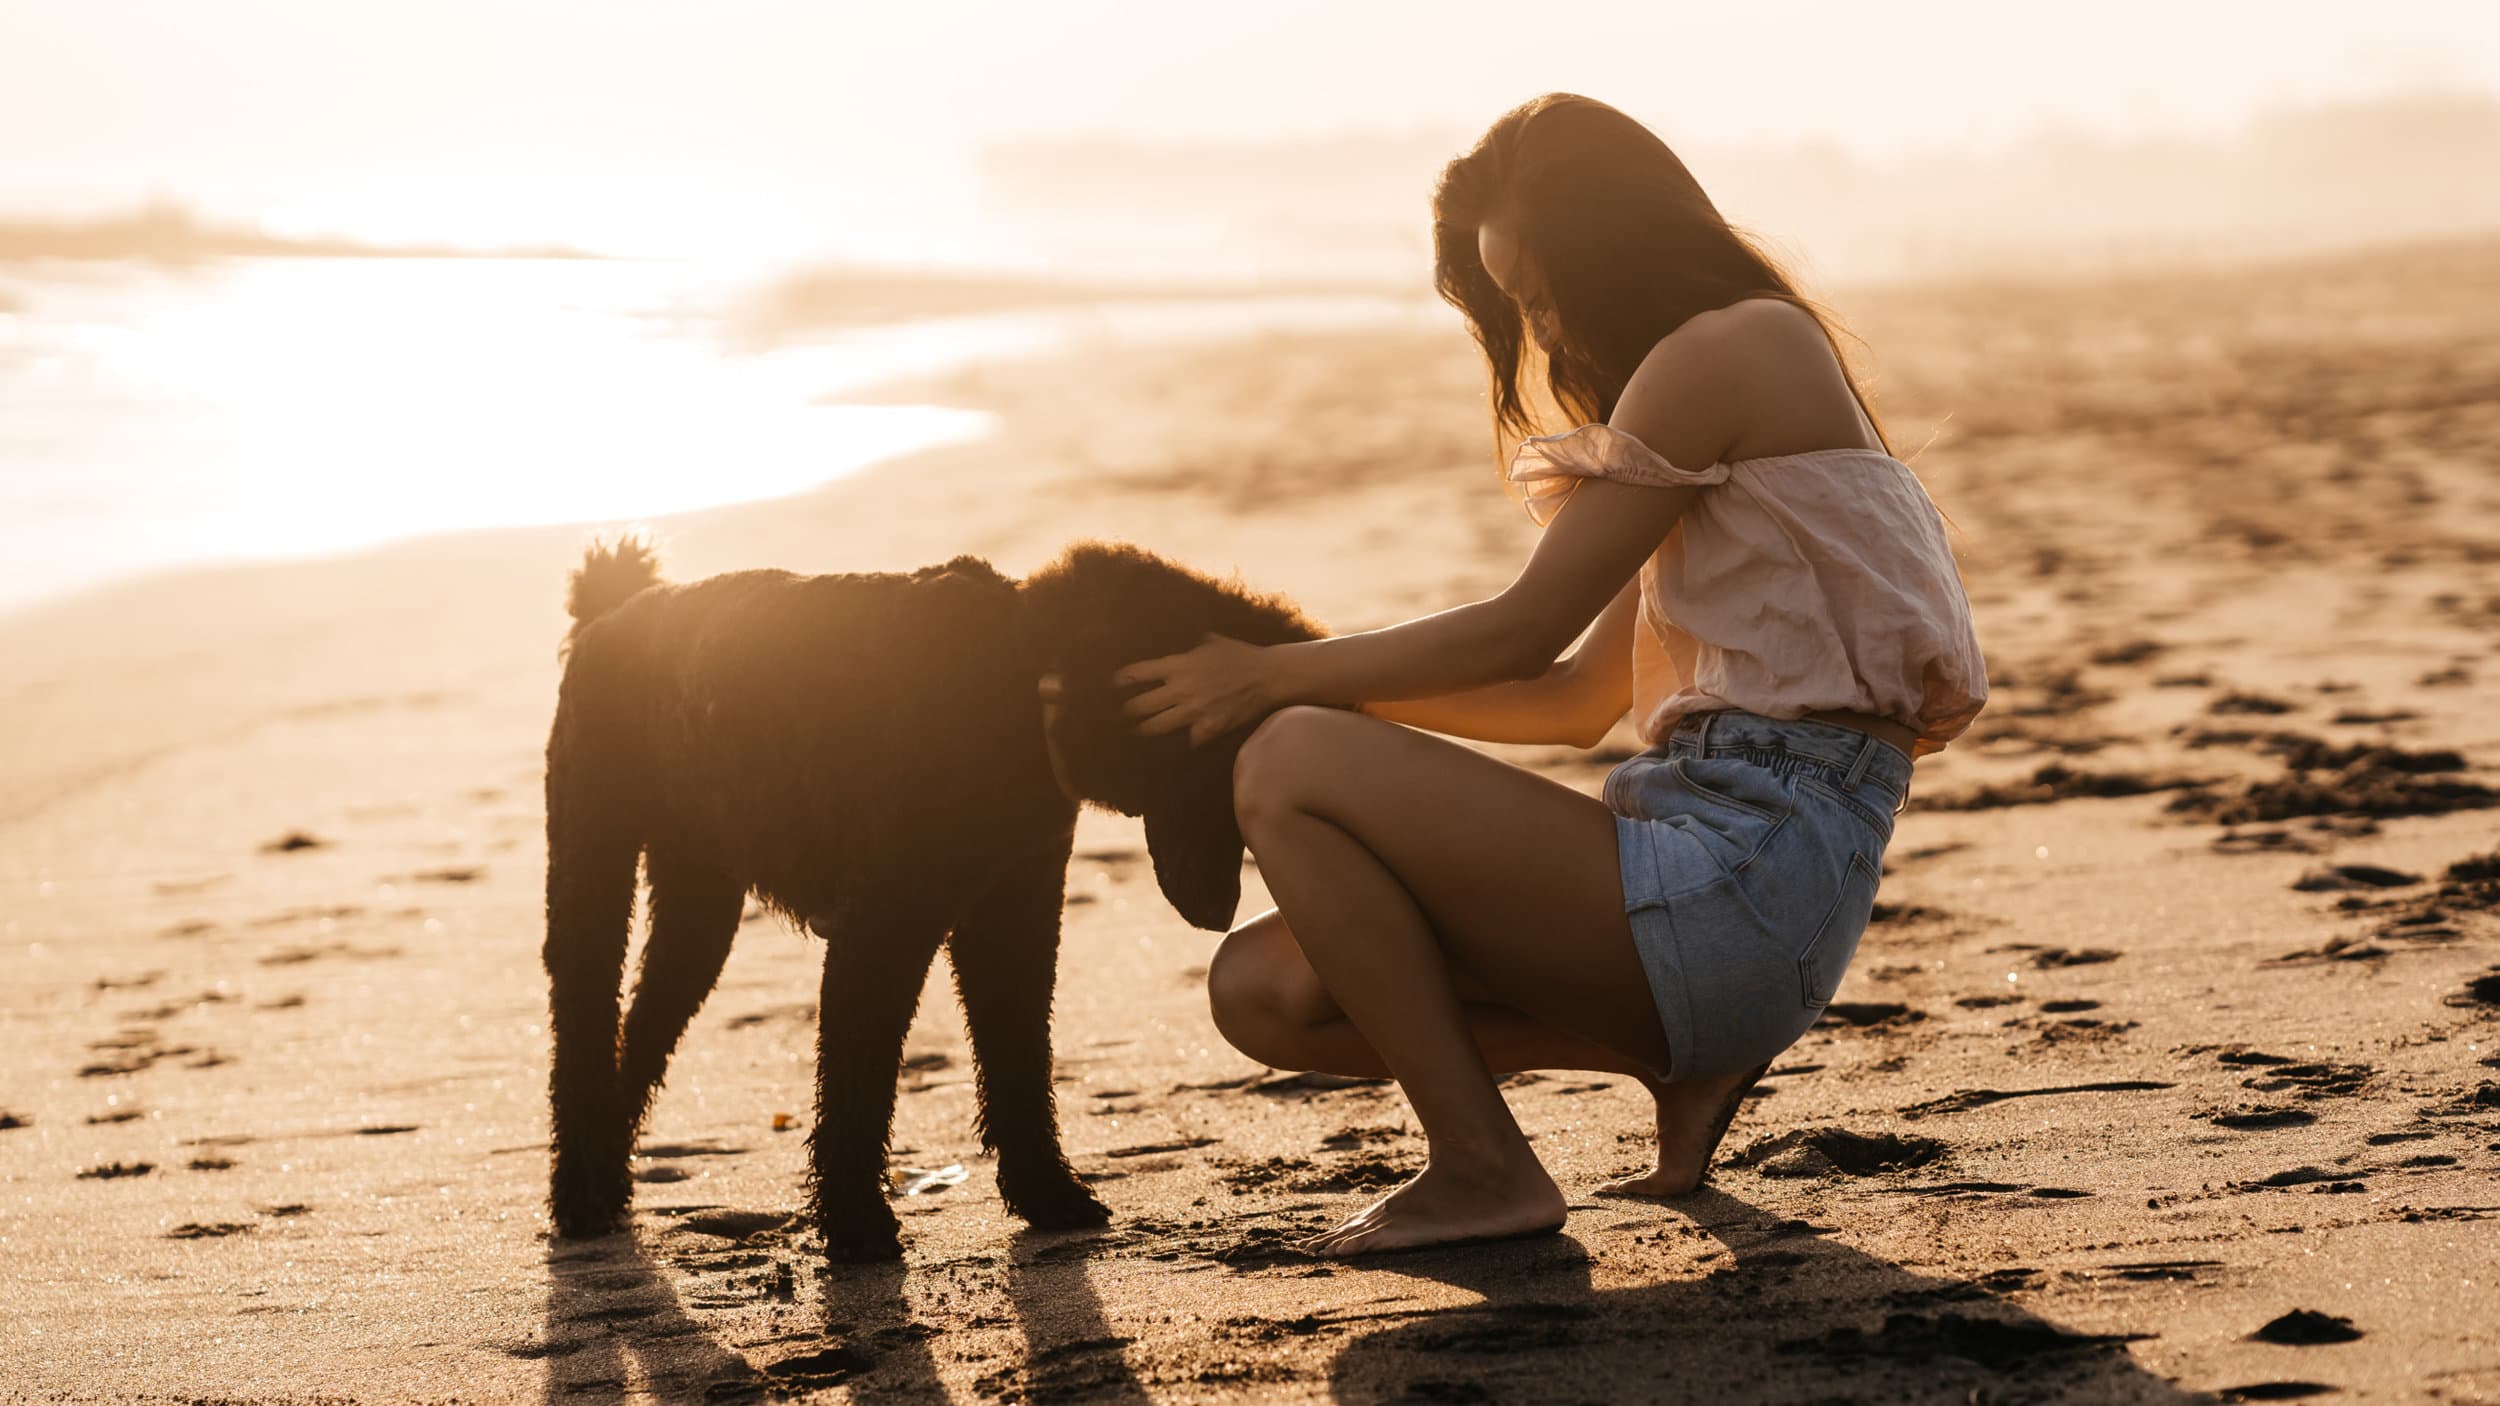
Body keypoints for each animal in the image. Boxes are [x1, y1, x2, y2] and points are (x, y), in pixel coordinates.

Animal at [545, 535, 1320, 1260]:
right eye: (1221, 759)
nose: (1221, 911)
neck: (1019, 672)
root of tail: (611, 610)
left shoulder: (1014, 915)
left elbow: (1019, 1059)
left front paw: (1049, 1194)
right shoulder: (879, 929)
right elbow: (858, 1085)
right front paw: (857, 1227)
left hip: (698, 895)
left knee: (644, 1027)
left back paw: (606, 1178)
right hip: (593, 861)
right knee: (584, 1023)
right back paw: (578, 1196)